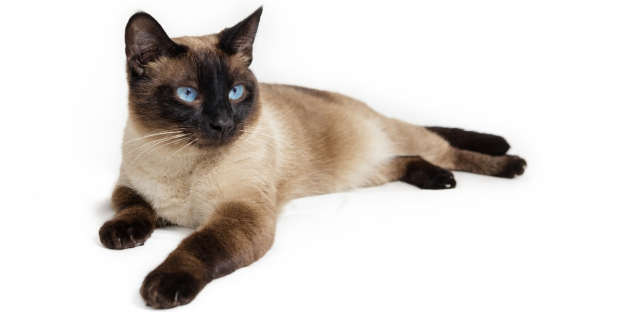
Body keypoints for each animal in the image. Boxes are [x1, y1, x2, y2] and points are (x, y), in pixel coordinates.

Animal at [101, 7, 528, 310]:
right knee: (406, 159)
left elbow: (198, 246)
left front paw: (163, 286)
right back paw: (438, 177)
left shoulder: (241, 212)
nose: (223, 123)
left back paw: (507, 160)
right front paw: (120, 236)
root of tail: (363, 108)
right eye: (188, 95)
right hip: (362, 173)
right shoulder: (127, 187)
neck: (181, 161)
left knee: (445, 146)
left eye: (236, 92)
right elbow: (131, 209)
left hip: (397, 143)